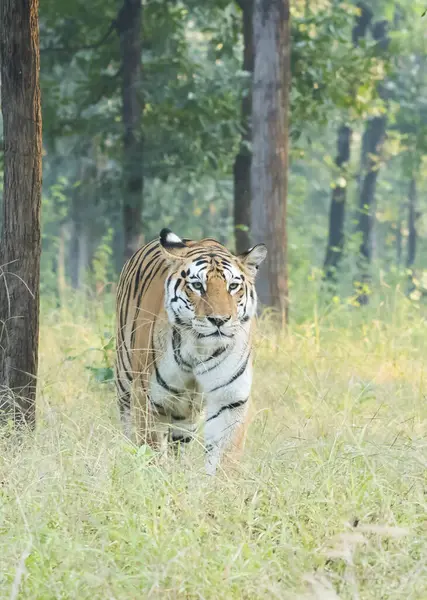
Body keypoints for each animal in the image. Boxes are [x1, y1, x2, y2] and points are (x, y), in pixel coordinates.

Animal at [113, 227, 268, 476]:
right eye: (197, 286)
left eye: (233, 286)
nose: (219, 320)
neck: (199, 350)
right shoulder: (149, 397)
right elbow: (152, 448)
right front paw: (156, 477)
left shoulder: (230, 399)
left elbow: (223, 454)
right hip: (125, 381)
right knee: (129, 428)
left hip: (186, 411)